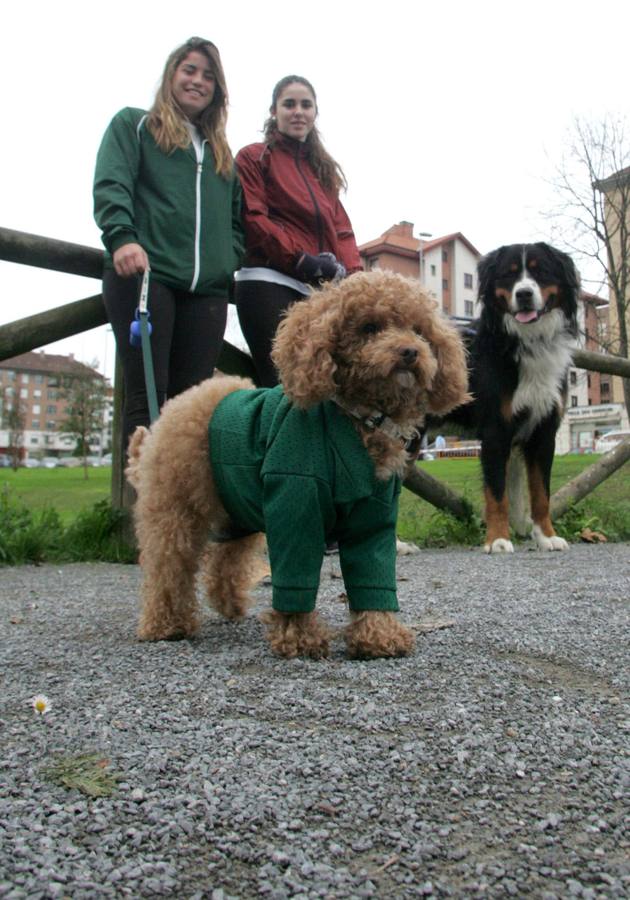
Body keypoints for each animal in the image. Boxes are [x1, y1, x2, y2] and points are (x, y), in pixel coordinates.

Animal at [436, 243, 580, 552]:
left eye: (540, 271)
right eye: (509, 275)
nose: (524, 294)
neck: (527, 342)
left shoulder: (543, 432)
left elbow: (541, 493)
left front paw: (546, 536)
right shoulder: (495, 430)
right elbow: (497, 494)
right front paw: (498, 539)